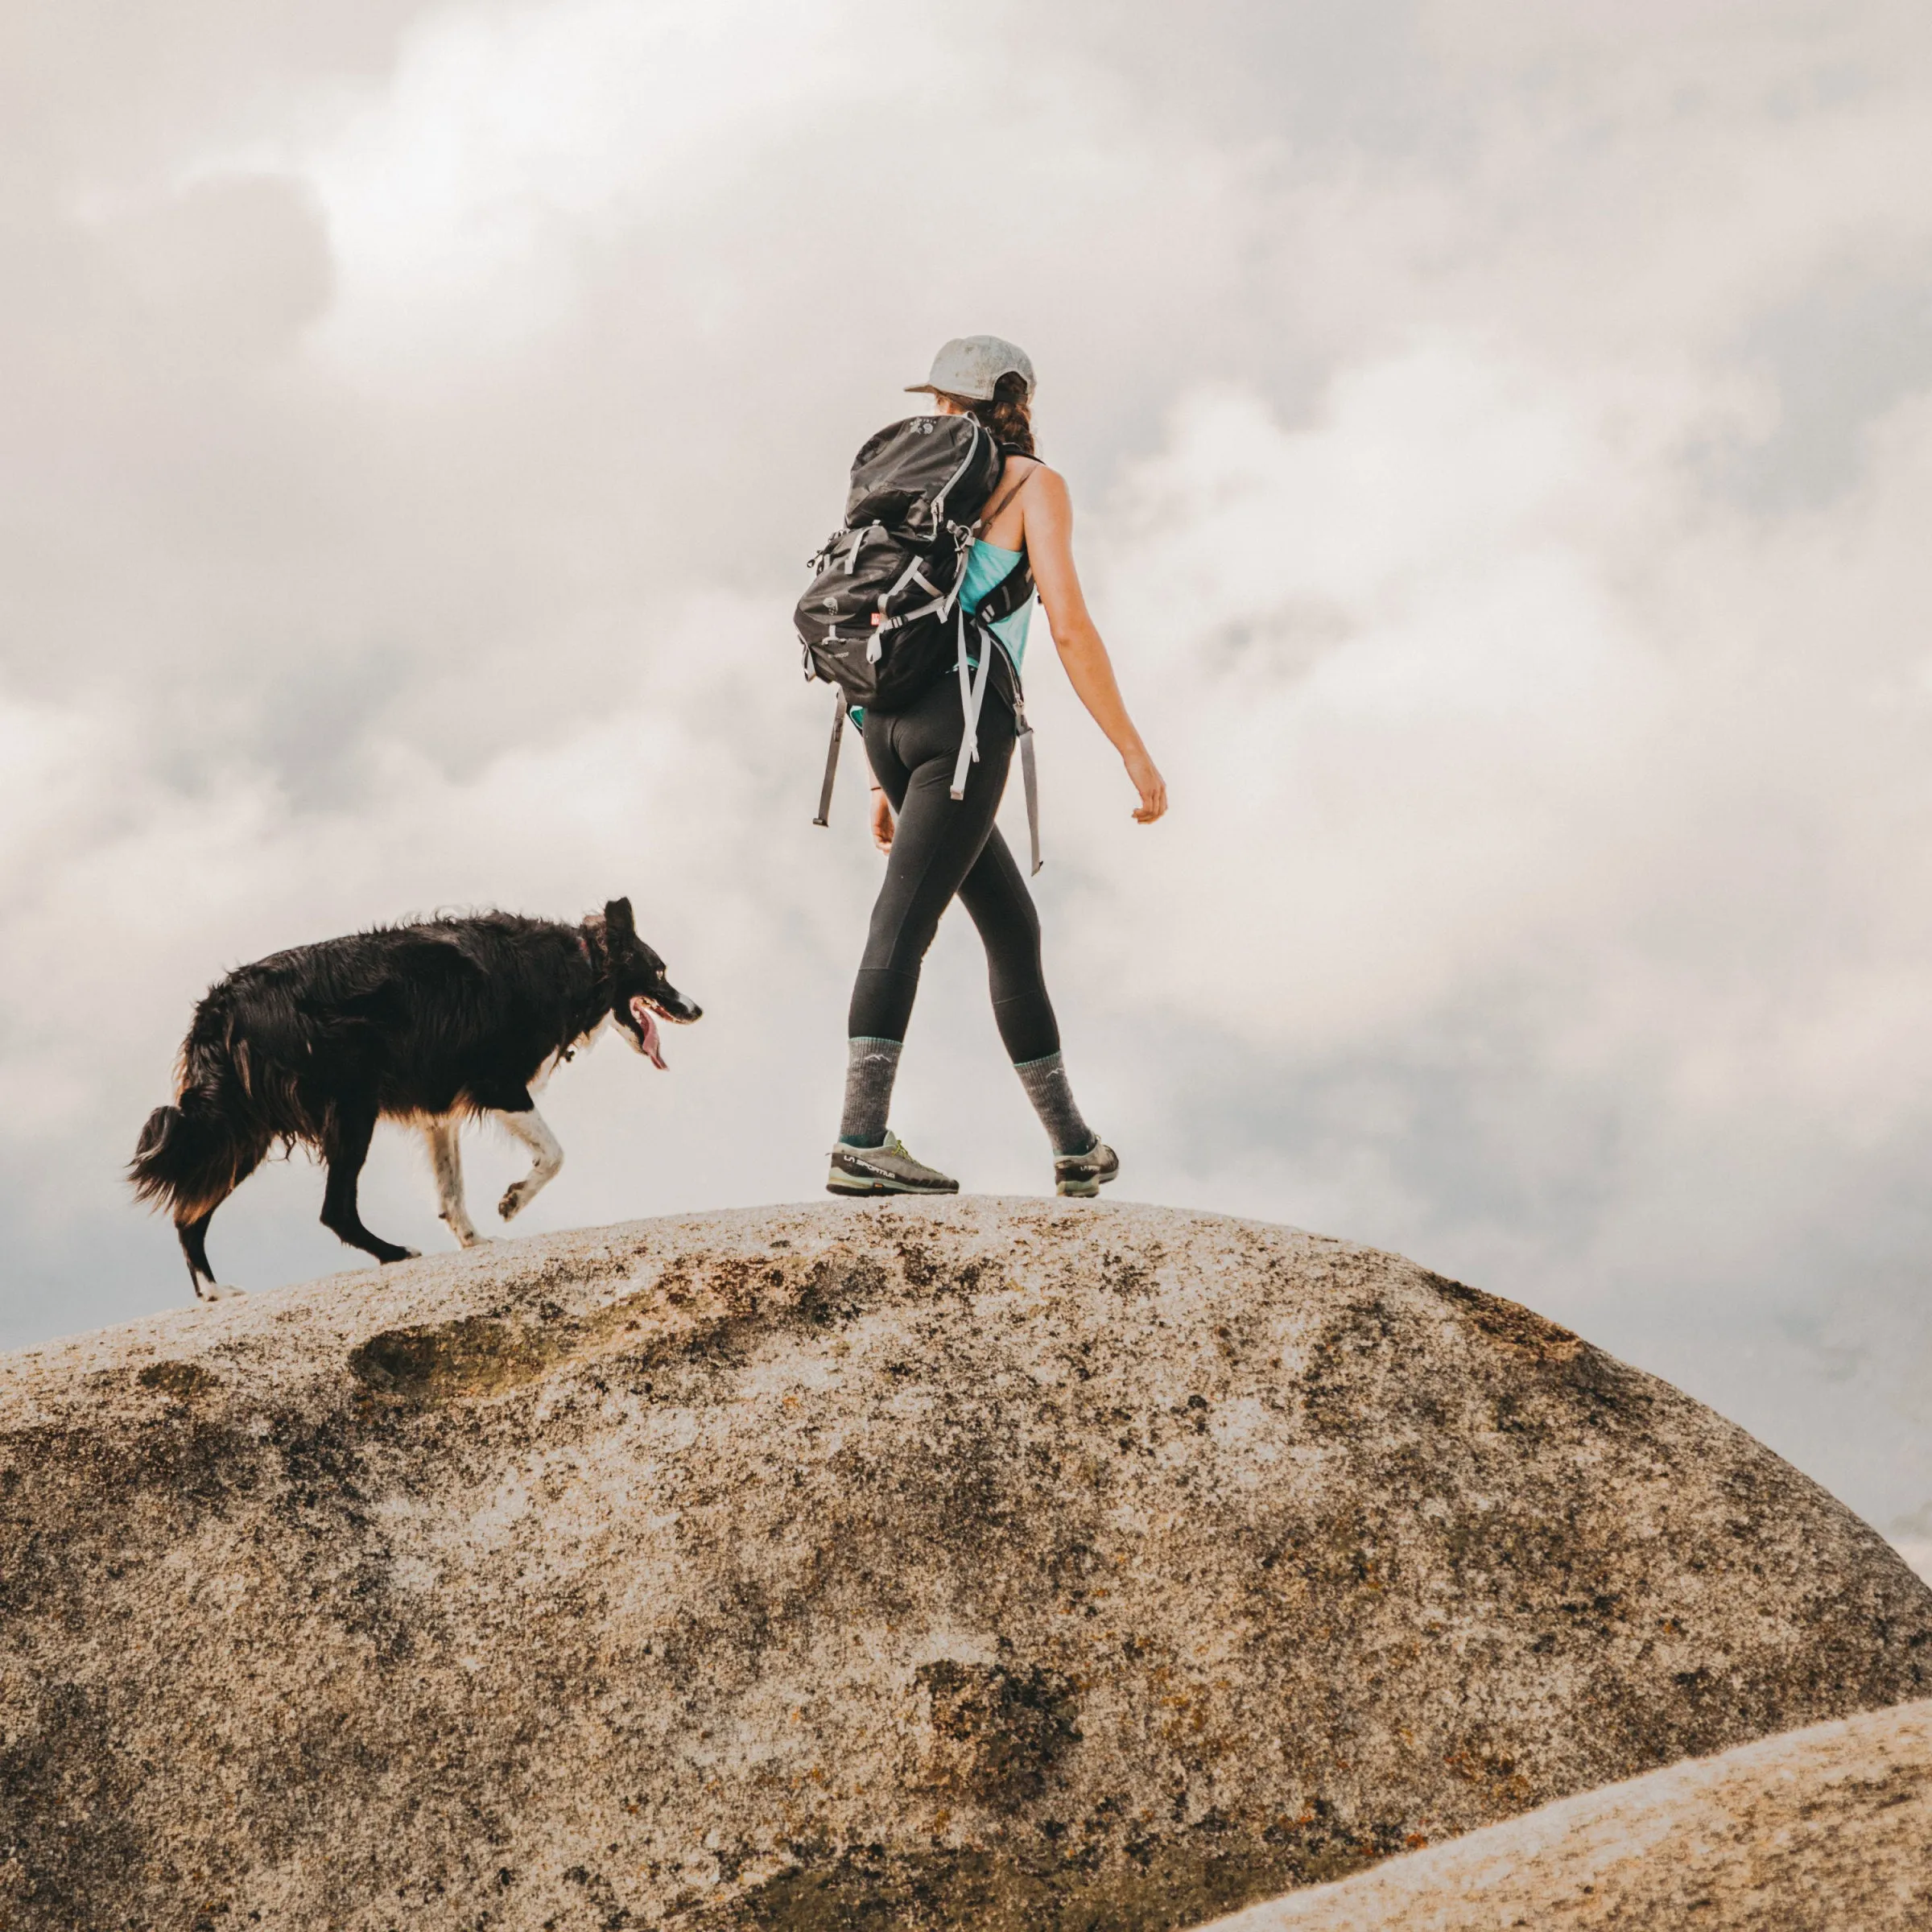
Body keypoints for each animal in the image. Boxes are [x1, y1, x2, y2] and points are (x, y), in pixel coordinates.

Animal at [132, 900, 703, 1298]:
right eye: (660, 971)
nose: (697, 1010)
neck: (580, 962)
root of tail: (222, 1004)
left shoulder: (440, 1113)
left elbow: (452, 1192)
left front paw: (474, 1242)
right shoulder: (500, 1085)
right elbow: (556, 1155)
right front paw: (513, 1200)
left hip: (244, 1128)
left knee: (189, 1215)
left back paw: (214, 1293)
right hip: (349, 1107)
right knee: (334, 1209)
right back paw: (394, 1253)